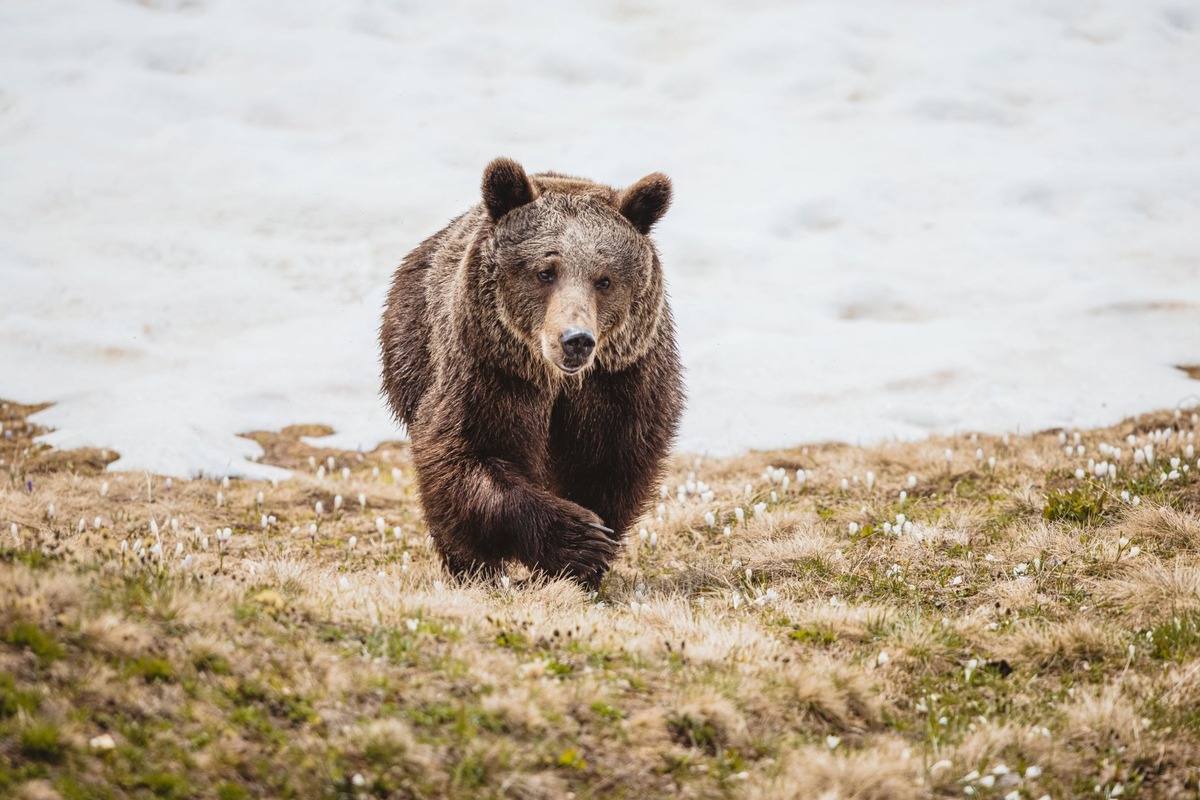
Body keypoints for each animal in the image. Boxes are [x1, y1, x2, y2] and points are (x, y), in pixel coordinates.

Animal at [381, 155, 686, 587]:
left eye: (605, 279)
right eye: (546, 271)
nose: (576, 340)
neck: (558, 382)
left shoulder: (620, 383)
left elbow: (609, 464)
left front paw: (591, 556)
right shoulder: (490, 373)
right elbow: (466, 456)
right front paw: (580, 539)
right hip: (411, 352)